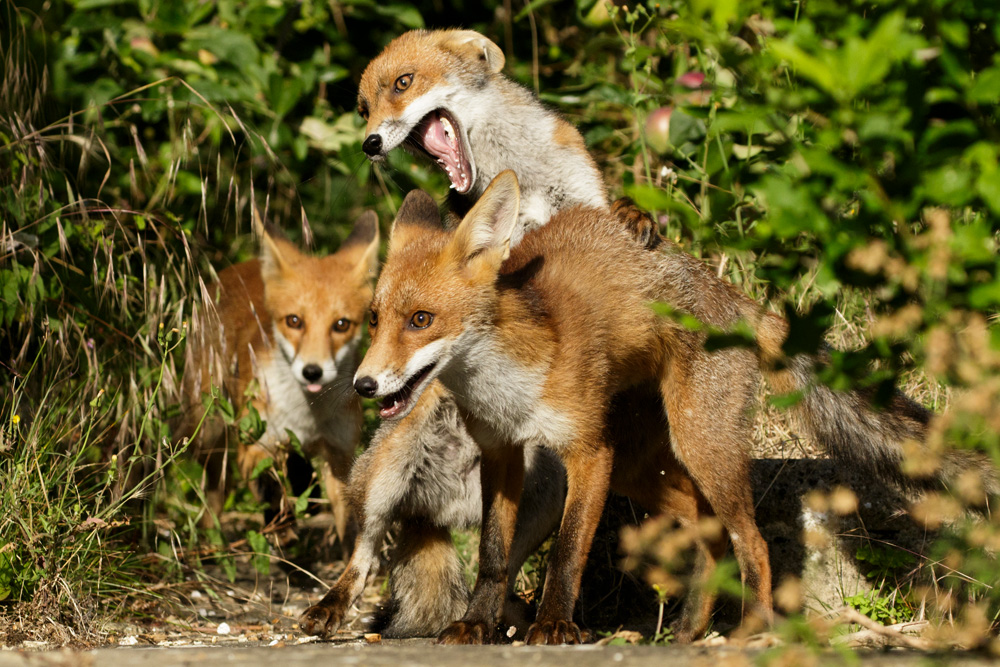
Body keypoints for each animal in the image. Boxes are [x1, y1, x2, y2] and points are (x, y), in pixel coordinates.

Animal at [178, 213, 379, 549]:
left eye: (341, 325)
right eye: (294, 321)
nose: (312, 371)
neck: (308, 416)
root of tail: (237, 268)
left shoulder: (339, 454)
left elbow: (349, 526)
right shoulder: (254, 444)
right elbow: (269, 486)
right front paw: (282, 524)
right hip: (209, 434)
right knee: (215, 496)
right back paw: (209, 545)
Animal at [352, 171, 997, 645]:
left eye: (421, 320)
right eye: (375, 320)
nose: (362, 384)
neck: (510, 387)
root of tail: (741, 302)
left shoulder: (589, 453)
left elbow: (567, 551)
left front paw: (555, 625)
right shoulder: (502, 454)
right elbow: (491, 553)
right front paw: (476, 624)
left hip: (697, 445)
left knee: (752, 541)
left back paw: (749, 631)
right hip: (645, 468)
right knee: (711, 535)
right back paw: (688, 633)